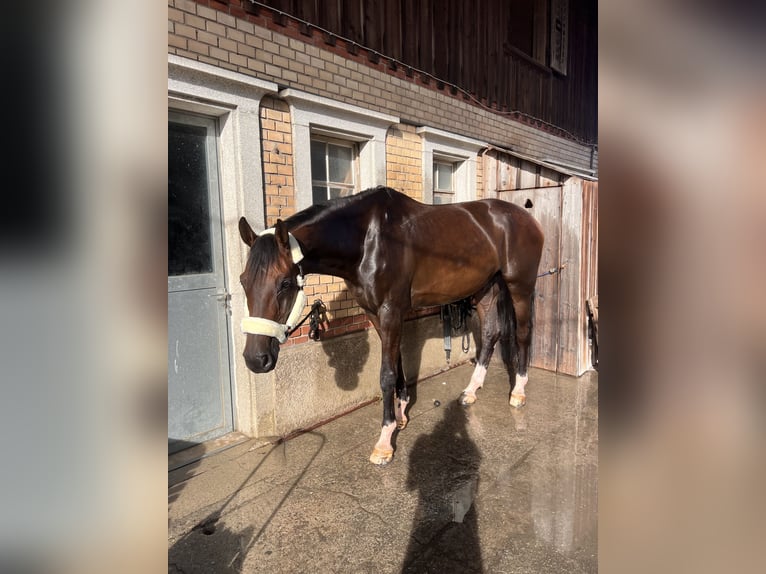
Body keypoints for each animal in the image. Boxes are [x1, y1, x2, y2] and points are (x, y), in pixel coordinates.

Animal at [240, 187, 544, 466]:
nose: (256, 359)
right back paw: (471, 391)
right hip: (485, 288)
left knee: (523, 332)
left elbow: (386, 373)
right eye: (243, 280)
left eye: (285, 283)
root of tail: (528, 219)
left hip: (520, 286)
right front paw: (401, 414)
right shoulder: (377, 314)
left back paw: (518, 391)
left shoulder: (391, 312)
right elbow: (396, 363)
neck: (367, 240)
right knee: (491, 333)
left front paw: (384, 442)